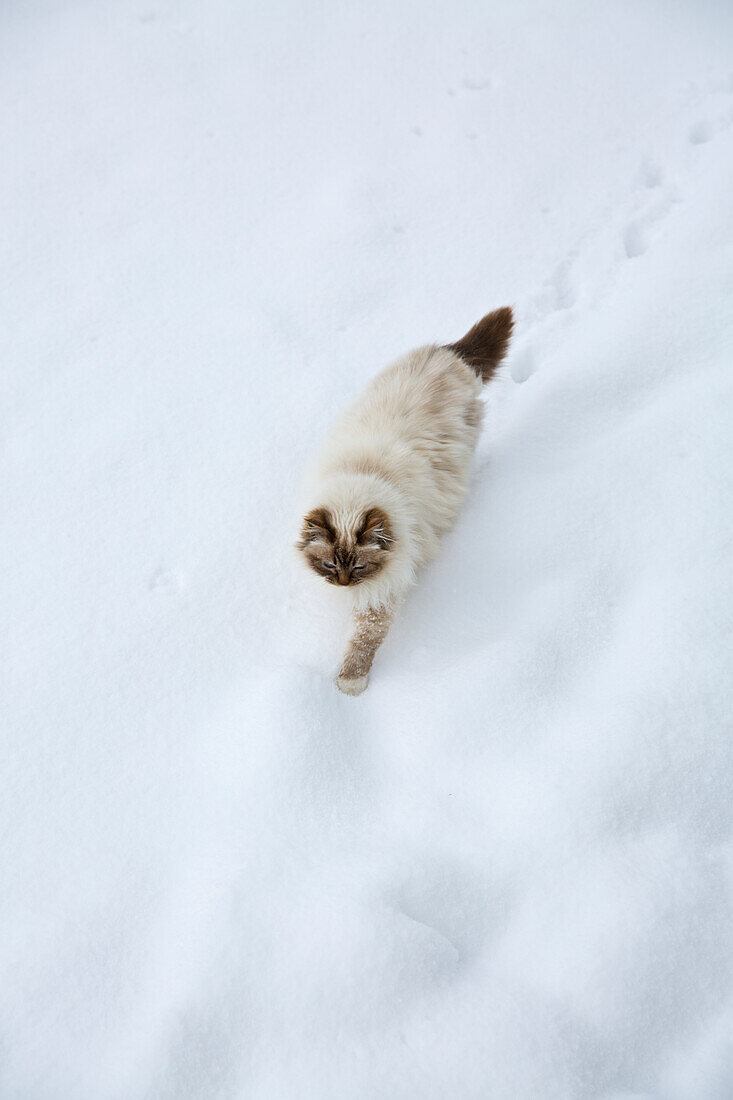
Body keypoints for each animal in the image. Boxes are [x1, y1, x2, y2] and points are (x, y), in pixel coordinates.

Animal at [294, 305, 510, 690]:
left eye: (359, 567)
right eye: (330, 565)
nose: (343, 585)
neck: (363, 475)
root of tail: (448, 354)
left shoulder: (381, 593)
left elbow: (364, 642)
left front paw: (349, 686)